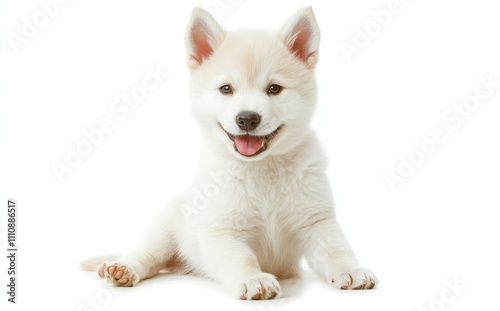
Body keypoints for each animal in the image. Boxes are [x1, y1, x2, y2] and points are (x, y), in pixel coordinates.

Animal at [83, 6, 378, 300]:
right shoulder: (222, 230)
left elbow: (335, 248)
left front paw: (351, 270)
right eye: (226, 89)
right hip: (164, 227)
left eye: (274, 88)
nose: (247, 119)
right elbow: (241, 259)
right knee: (147, 255)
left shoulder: (316, 221)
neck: (262, 169)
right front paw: (254, 279)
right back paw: (123, 268)